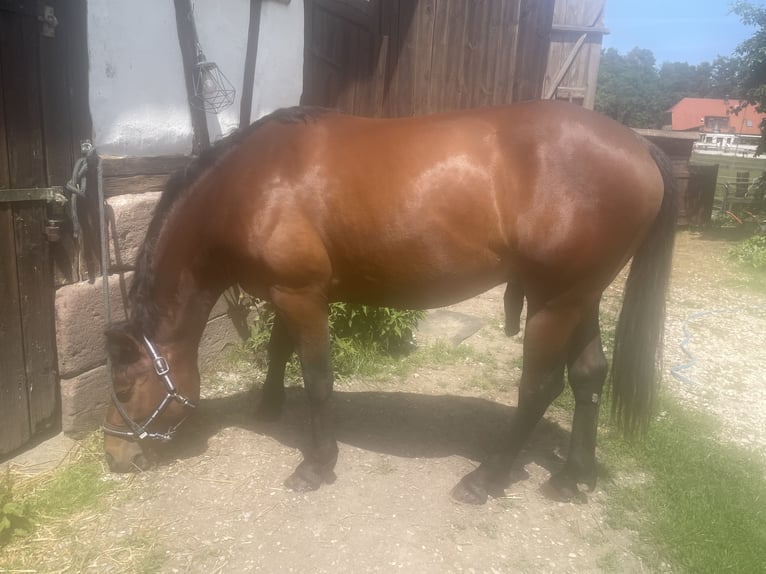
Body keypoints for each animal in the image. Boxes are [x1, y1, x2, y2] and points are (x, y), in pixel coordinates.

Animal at [102, 101, 677, 504]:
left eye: (125, 387)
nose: (115, 456)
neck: (252, 183)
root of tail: (638, 146)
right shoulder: (289, 292)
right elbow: (279, 351)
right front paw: (269, 405)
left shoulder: (300, 295)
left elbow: (317, 378)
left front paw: (317, 465)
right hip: (581, 295)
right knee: (588, 375)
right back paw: (573, 475)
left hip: (553, 300)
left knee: (539, 387)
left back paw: (485, 479)